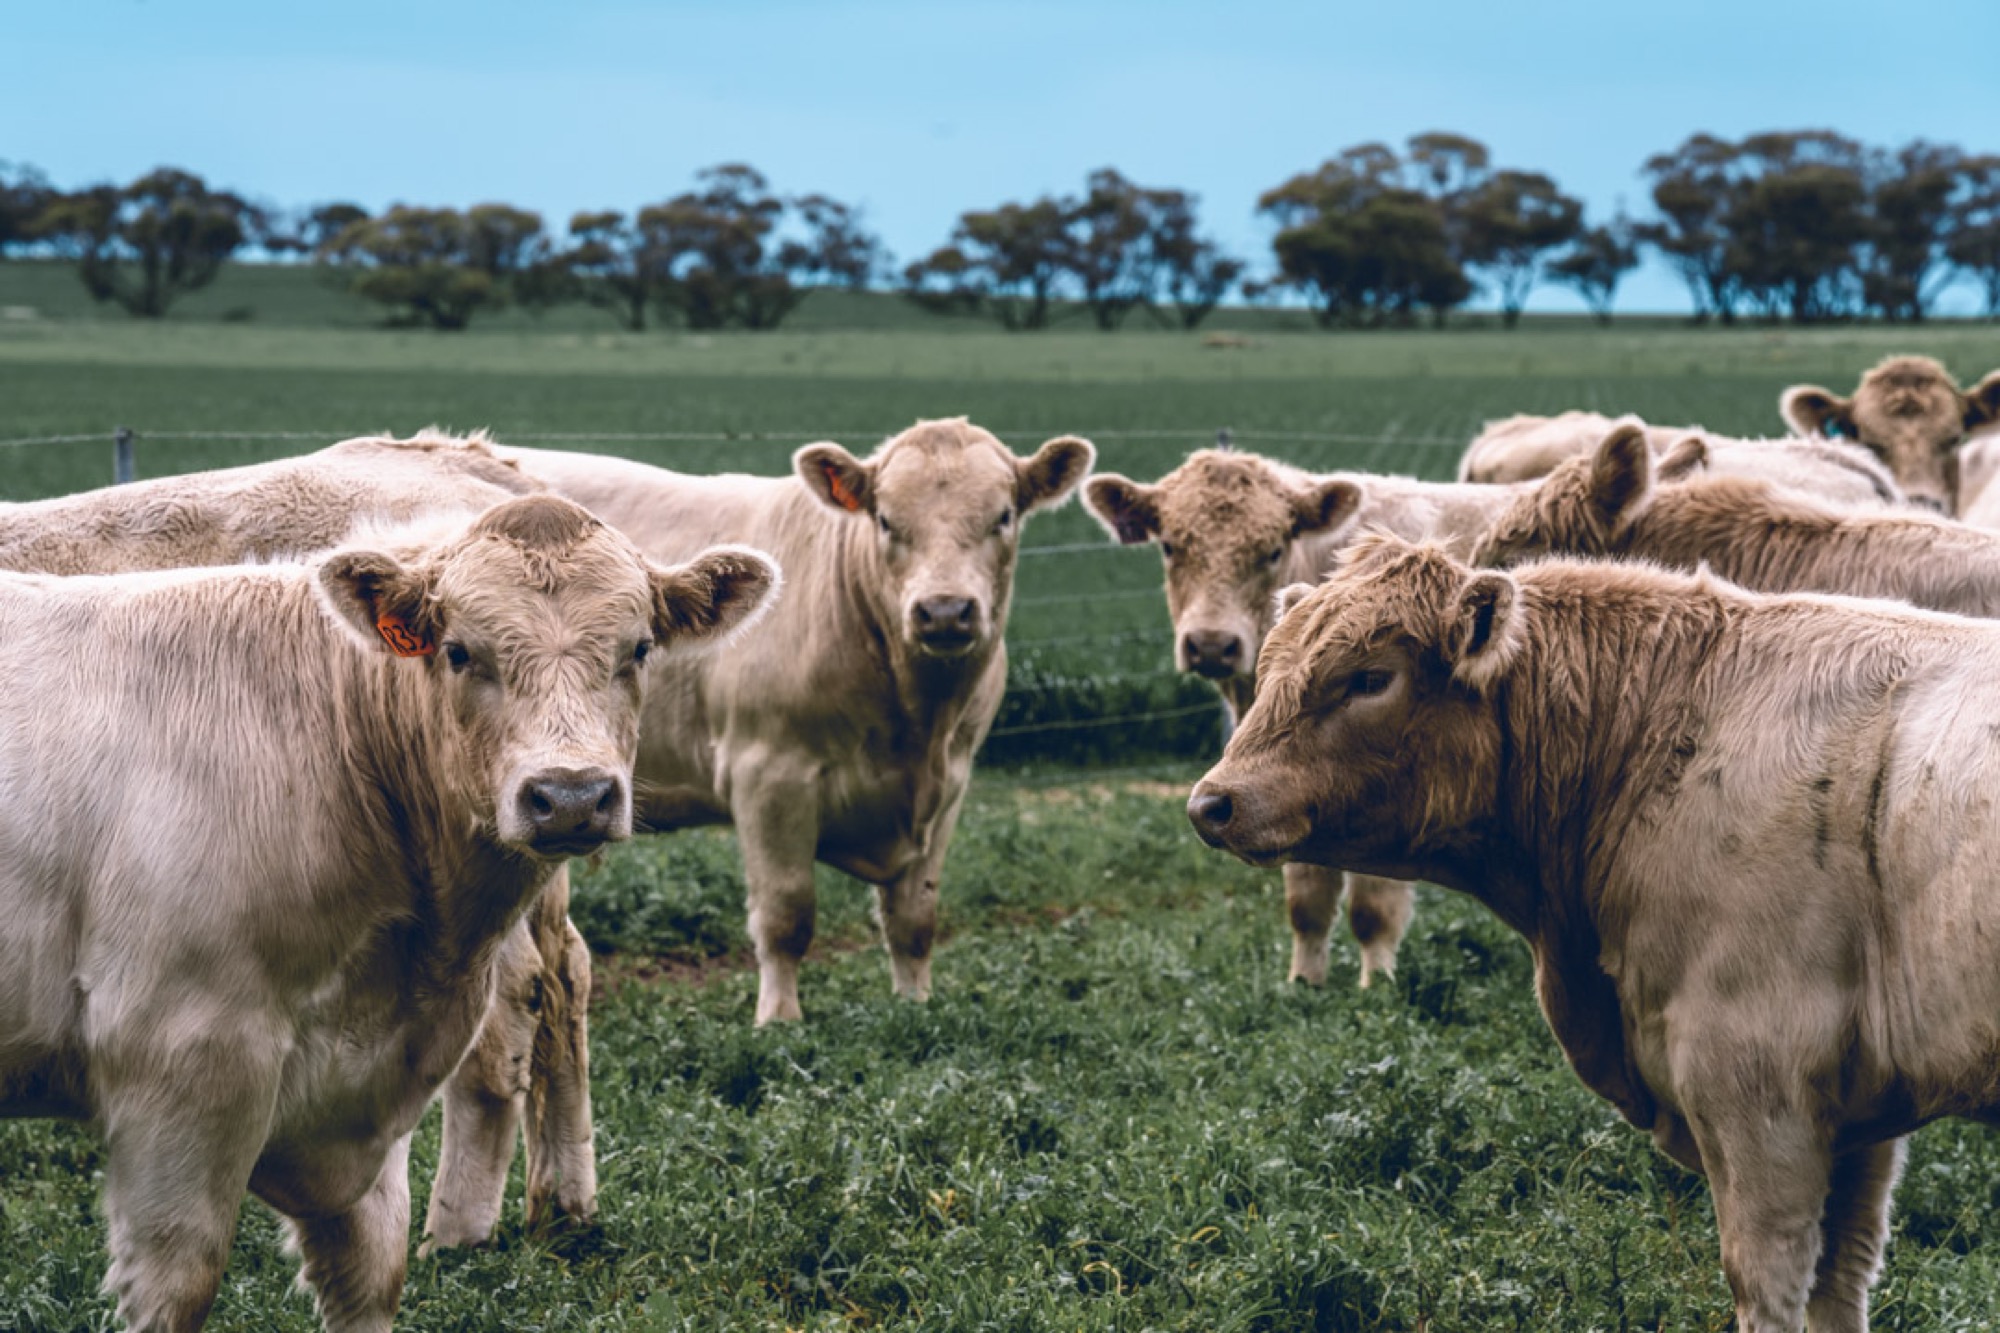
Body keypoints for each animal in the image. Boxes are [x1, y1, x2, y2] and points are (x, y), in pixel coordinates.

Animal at [486, 419, 1095, 1027]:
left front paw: (916, 1003)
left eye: (1004, 516)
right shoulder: (770, 774)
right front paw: (779, 1017)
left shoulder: (950, 785)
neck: (916, 726)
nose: (944, 611)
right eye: (885, 520)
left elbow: (915, 917)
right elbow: (787, 914)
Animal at [1188, 535, 2000, 1331]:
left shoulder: (1755, 1081)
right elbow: (1840, 1278)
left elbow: (1769, 1282)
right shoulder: (1858, 1110)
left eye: (1369, 678)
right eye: (1267, 669)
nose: (1212, 802)